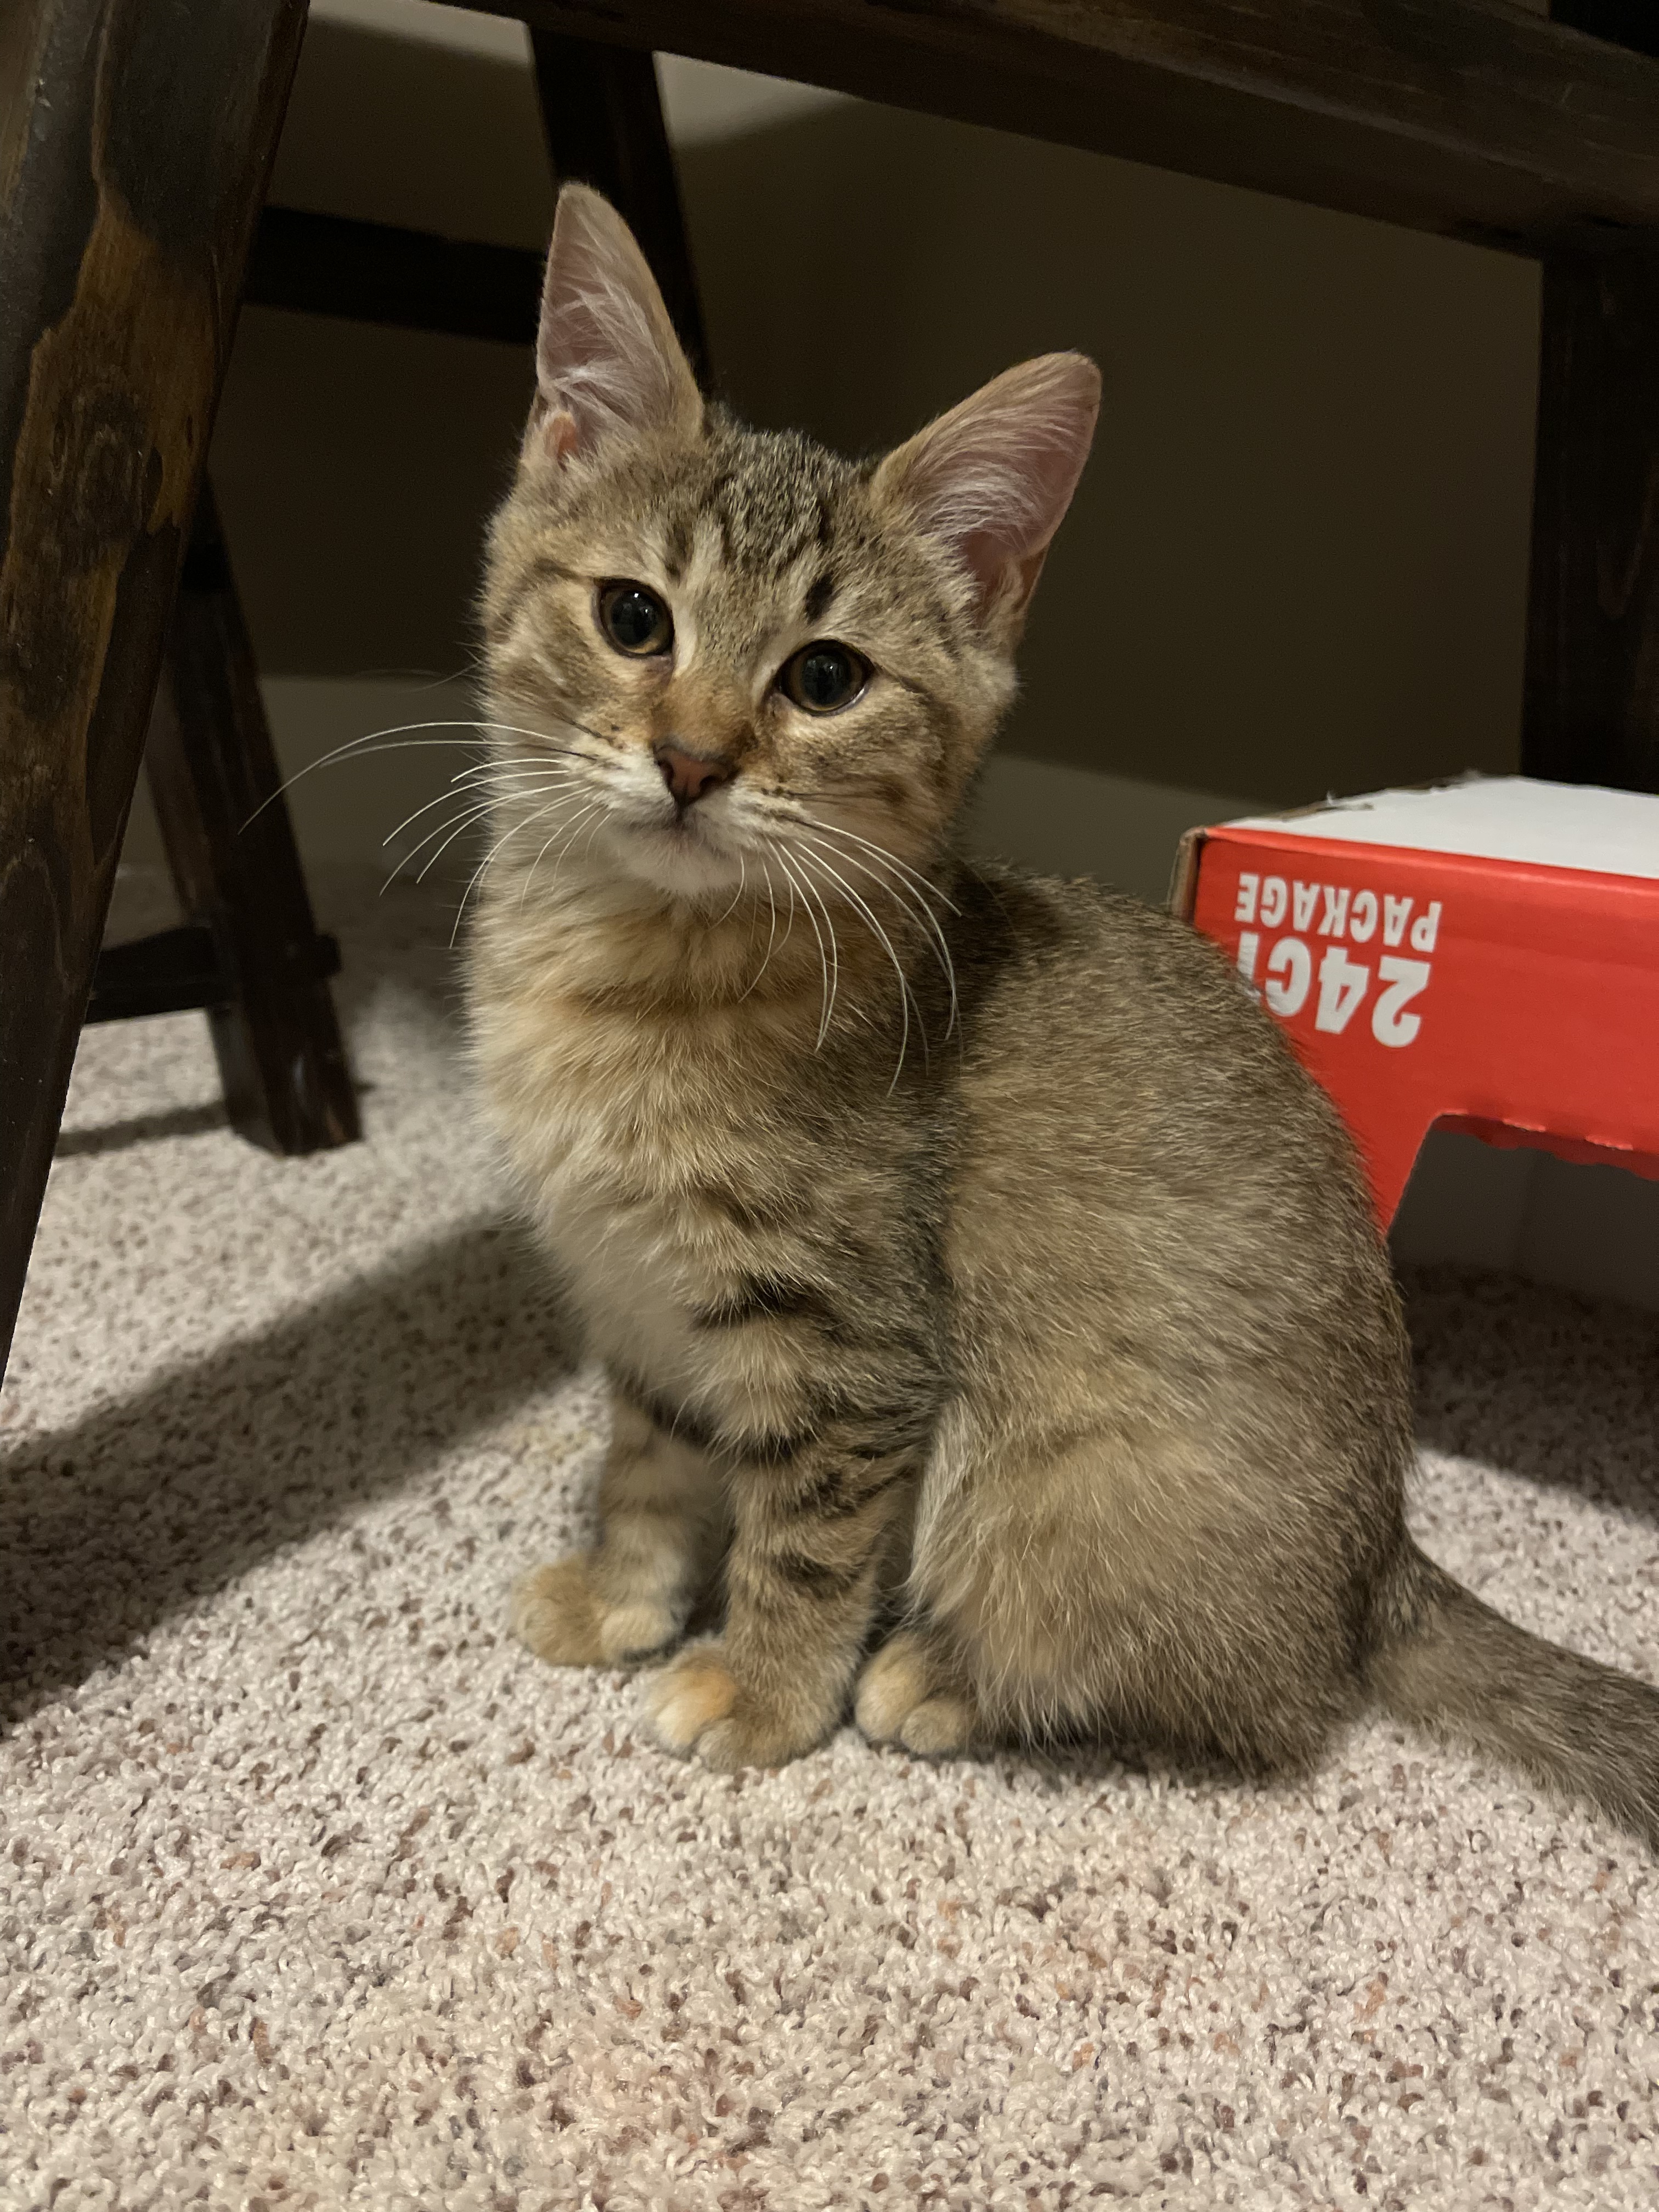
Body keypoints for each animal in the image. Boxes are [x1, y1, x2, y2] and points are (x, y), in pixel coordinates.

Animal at [469, 177, 1659, 1849]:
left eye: (824, 678)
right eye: (635, 617)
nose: (692, 761)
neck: (636, 967)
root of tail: (1377, 1566)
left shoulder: (853, 1345)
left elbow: (805, 1537)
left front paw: (763, 1690)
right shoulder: (640, 1306)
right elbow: (650, 1470)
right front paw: (624, 1595)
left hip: (1055, 1471)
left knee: (1239, 1702)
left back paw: (941, 1678)